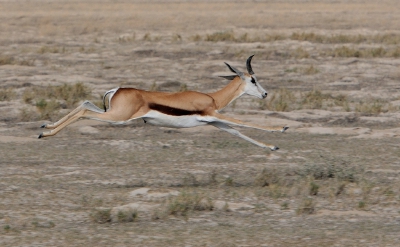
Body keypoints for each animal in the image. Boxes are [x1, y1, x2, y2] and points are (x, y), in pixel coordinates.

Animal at [39, 55, 288, 151]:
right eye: (253, 80)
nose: (265, 94)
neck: (213, 98)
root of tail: (117, 90)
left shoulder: (214, 121)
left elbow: (238, 132)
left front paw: (272, 147)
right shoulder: (215, 114)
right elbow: (244, 123)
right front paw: (282, 127)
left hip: (112, 113)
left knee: (85, 103)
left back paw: (45, 127)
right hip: (118, 118)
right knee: (83, 112)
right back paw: (45, 134)